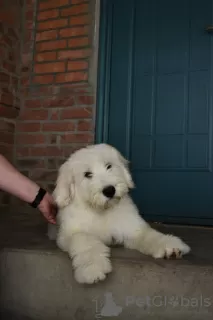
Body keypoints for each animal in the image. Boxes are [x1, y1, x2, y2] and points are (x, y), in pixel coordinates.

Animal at [52, 144, 191, 284]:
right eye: (87, 174)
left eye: (109, 166)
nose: (109, 190)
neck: (102, 211)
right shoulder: (69, 233)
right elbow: (85, 241)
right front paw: (93, 268)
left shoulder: (132, 229)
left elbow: (148, 236)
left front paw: (170, 246)